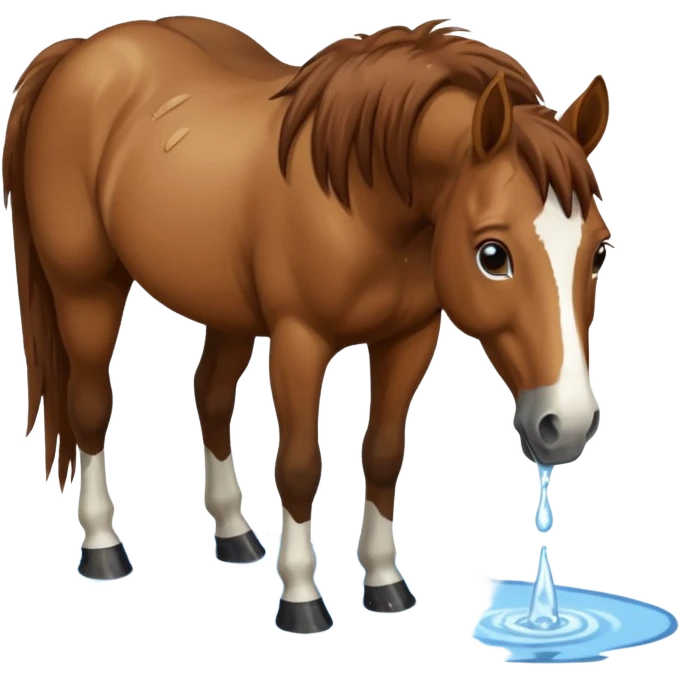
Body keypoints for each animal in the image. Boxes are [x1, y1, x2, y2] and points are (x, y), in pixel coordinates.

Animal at [3, 17, 611, 633]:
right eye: (492, 255)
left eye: (599, 253)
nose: (568, 425)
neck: (363, 197)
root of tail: (81, 51)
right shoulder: (300, 341)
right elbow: (298, 466)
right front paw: (301, 598)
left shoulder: (408, 338)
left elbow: (383, 455)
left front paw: (385, 582)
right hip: (86, 289)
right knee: (90, 403)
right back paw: (102, 547)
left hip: (226, 309)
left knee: (211, 396)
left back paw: (235, 535)